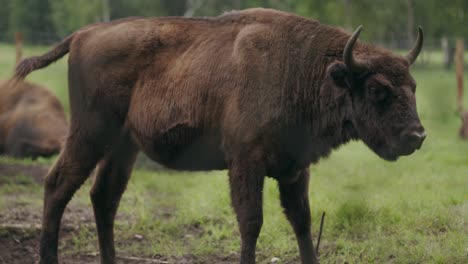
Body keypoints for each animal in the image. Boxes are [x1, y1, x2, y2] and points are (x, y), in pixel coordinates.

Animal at [13, 8, 424, 264]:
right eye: (377, 89)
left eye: (413, 86)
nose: (417, 136)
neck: (300, 68)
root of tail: (84, 33)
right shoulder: (246, 163)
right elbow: (252, 222)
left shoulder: (294, 169)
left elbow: (302, 221)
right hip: (90, 133)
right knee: (58, 184)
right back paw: (48, 256)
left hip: (124, 146)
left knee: (104, 197)